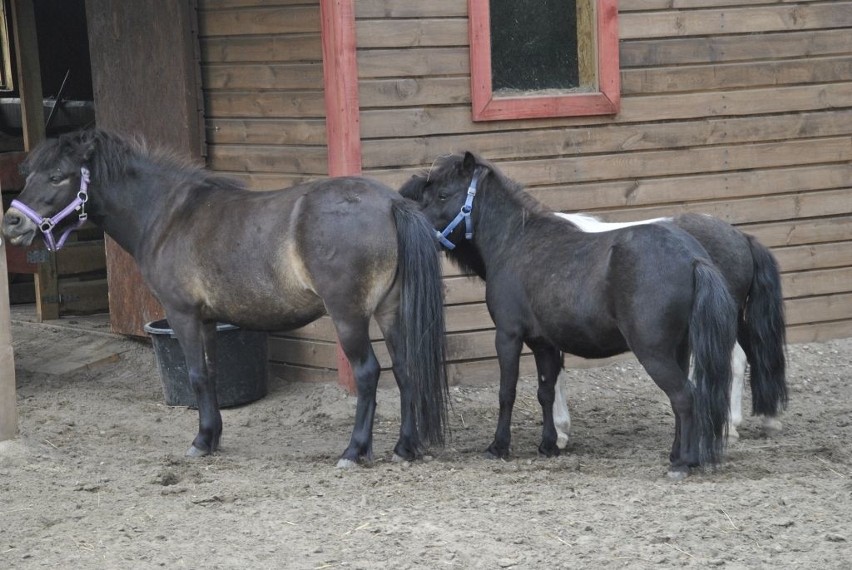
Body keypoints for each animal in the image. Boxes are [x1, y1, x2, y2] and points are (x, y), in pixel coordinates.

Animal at [0, 130, 450, 466]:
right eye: (29, 171)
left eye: (59, 176)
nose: (13, 222)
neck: (168, 215)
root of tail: (391, 203)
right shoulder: (207, 319)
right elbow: (212, 375)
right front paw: (213, 436)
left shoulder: (182, 314)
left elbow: (196, 375)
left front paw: (201, 442)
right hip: (390, 311)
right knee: (406, 370)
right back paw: (404, 448)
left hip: (348, 316)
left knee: (368, 373)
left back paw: (354, 451)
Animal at [400, 151, 740, 474]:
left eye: (443, 195)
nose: (419, 233)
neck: (515, 242)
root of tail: (693, 257)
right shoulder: (544, 343)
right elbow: (546, 392)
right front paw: (549, 444)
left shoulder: (508, 335)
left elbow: (506, 391)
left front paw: (499, 446)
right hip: (679, 349)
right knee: (680, 399)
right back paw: (677, 454)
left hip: (654, 352)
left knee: (684, 396)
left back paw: (685, 462)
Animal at [552, 211, 784, 446]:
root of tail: (741, 237)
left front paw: (559, 430)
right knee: (756, 356)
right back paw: (766, 419)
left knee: (735, 360)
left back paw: (730, 425)